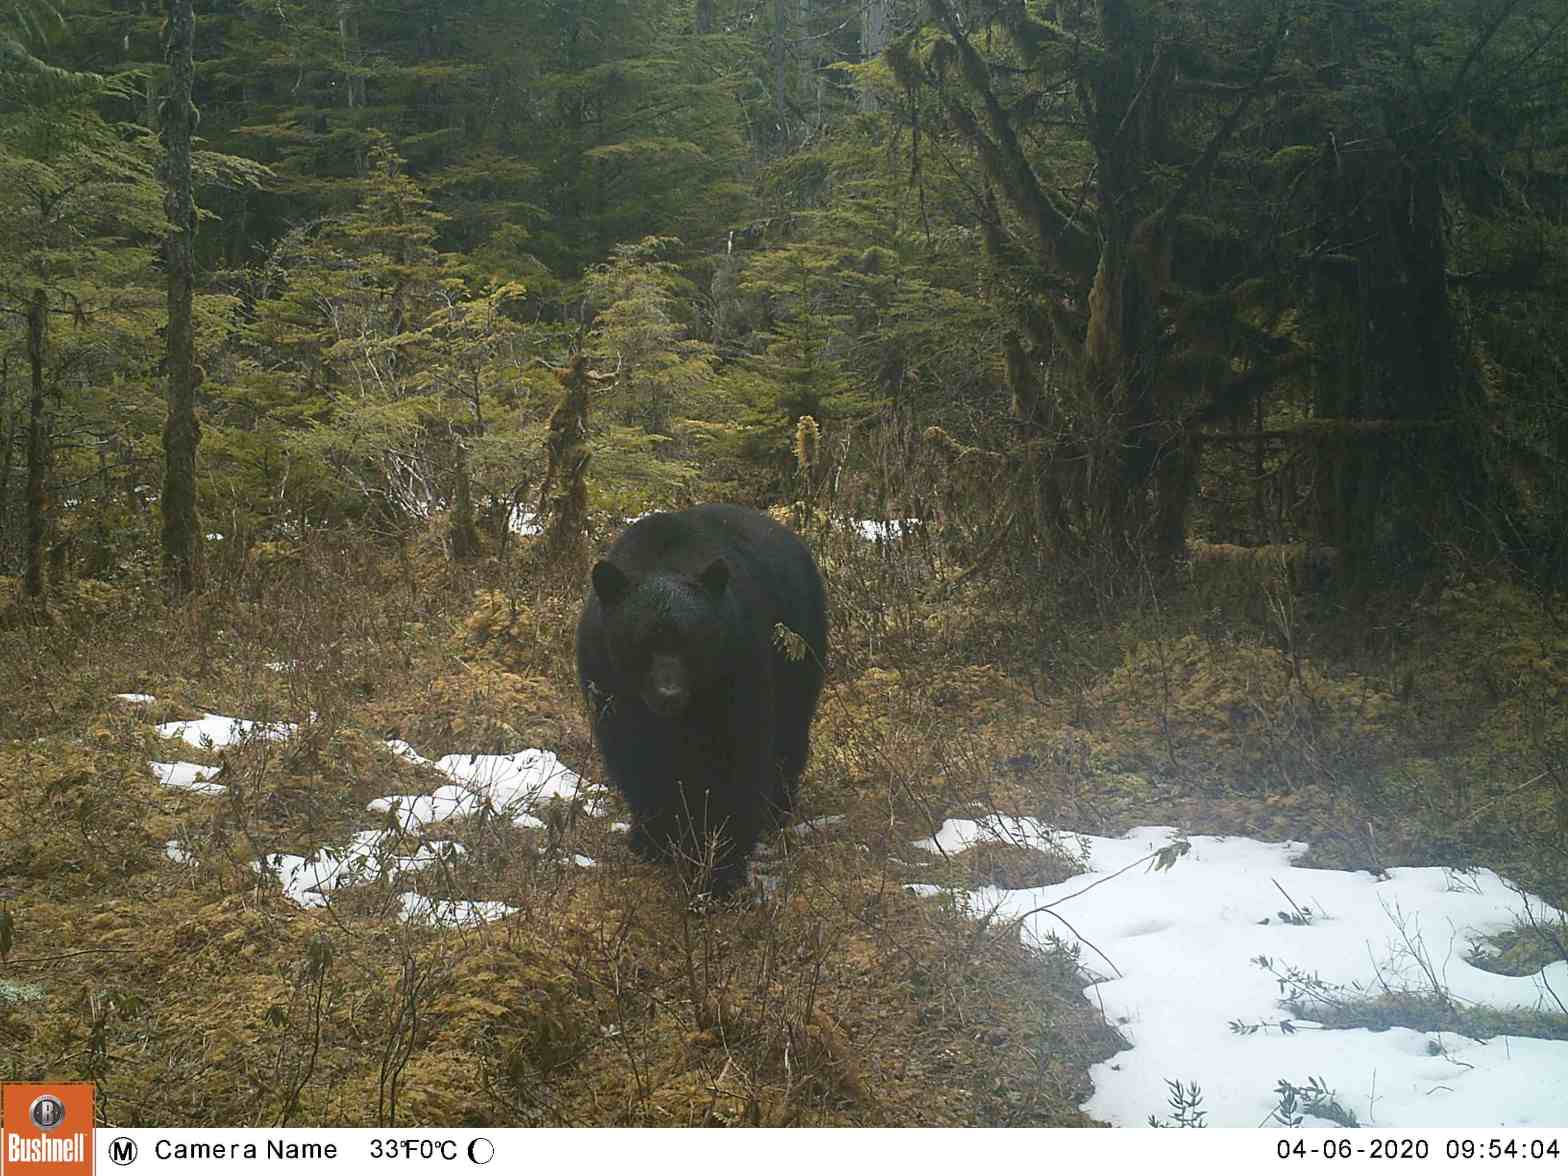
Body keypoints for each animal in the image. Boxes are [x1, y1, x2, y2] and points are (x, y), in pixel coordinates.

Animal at [575, 504, 828, 897]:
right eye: (642, 642)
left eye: (690, 641)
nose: (669, 695)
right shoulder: (610, 682)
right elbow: (636, 756)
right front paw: (654, 840)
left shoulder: (735, 667)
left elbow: (733, 759)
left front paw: (719, 870)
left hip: (799, 646)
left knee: (789, 732)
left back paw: (776, 810)